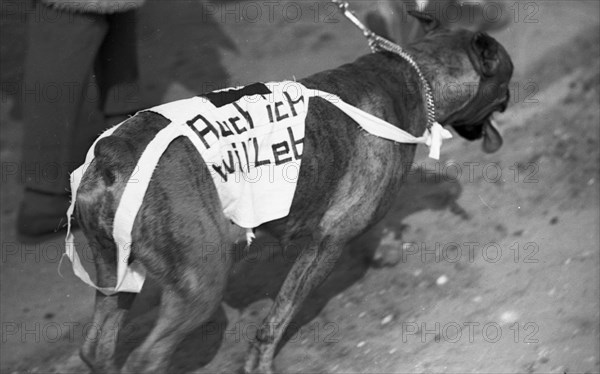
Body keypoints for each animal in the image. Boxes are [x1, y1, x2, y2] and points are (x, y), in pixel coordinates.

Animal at [76, 10, 510, 372]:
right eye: (506, 86)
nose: (507, 103)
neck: (413, 77)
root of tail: (114, 152)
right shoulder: (326, 244)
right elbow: (277, 318)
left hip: (114, 275)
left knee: (96, 350)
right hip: (201, 286)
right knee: (146, 359)